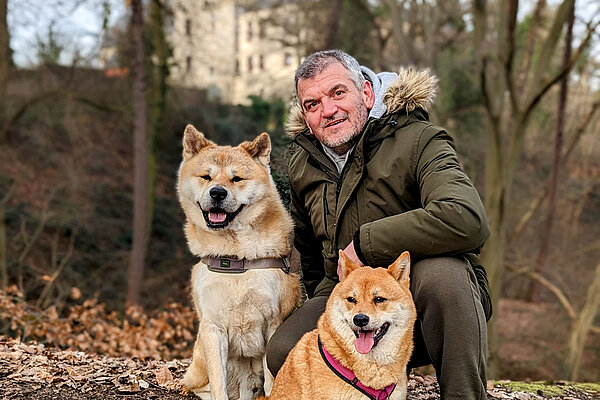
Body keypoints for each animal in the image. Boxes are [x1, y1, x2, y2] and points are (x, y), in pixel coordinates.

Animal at [177, 123, 300, 398]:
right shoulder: (213, 328)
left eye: (237, 179)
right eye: (206, 177)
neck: (235, 259)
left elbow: (272, 382)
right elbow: (218, 383)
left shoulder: (273, 322)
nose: (217, 192)